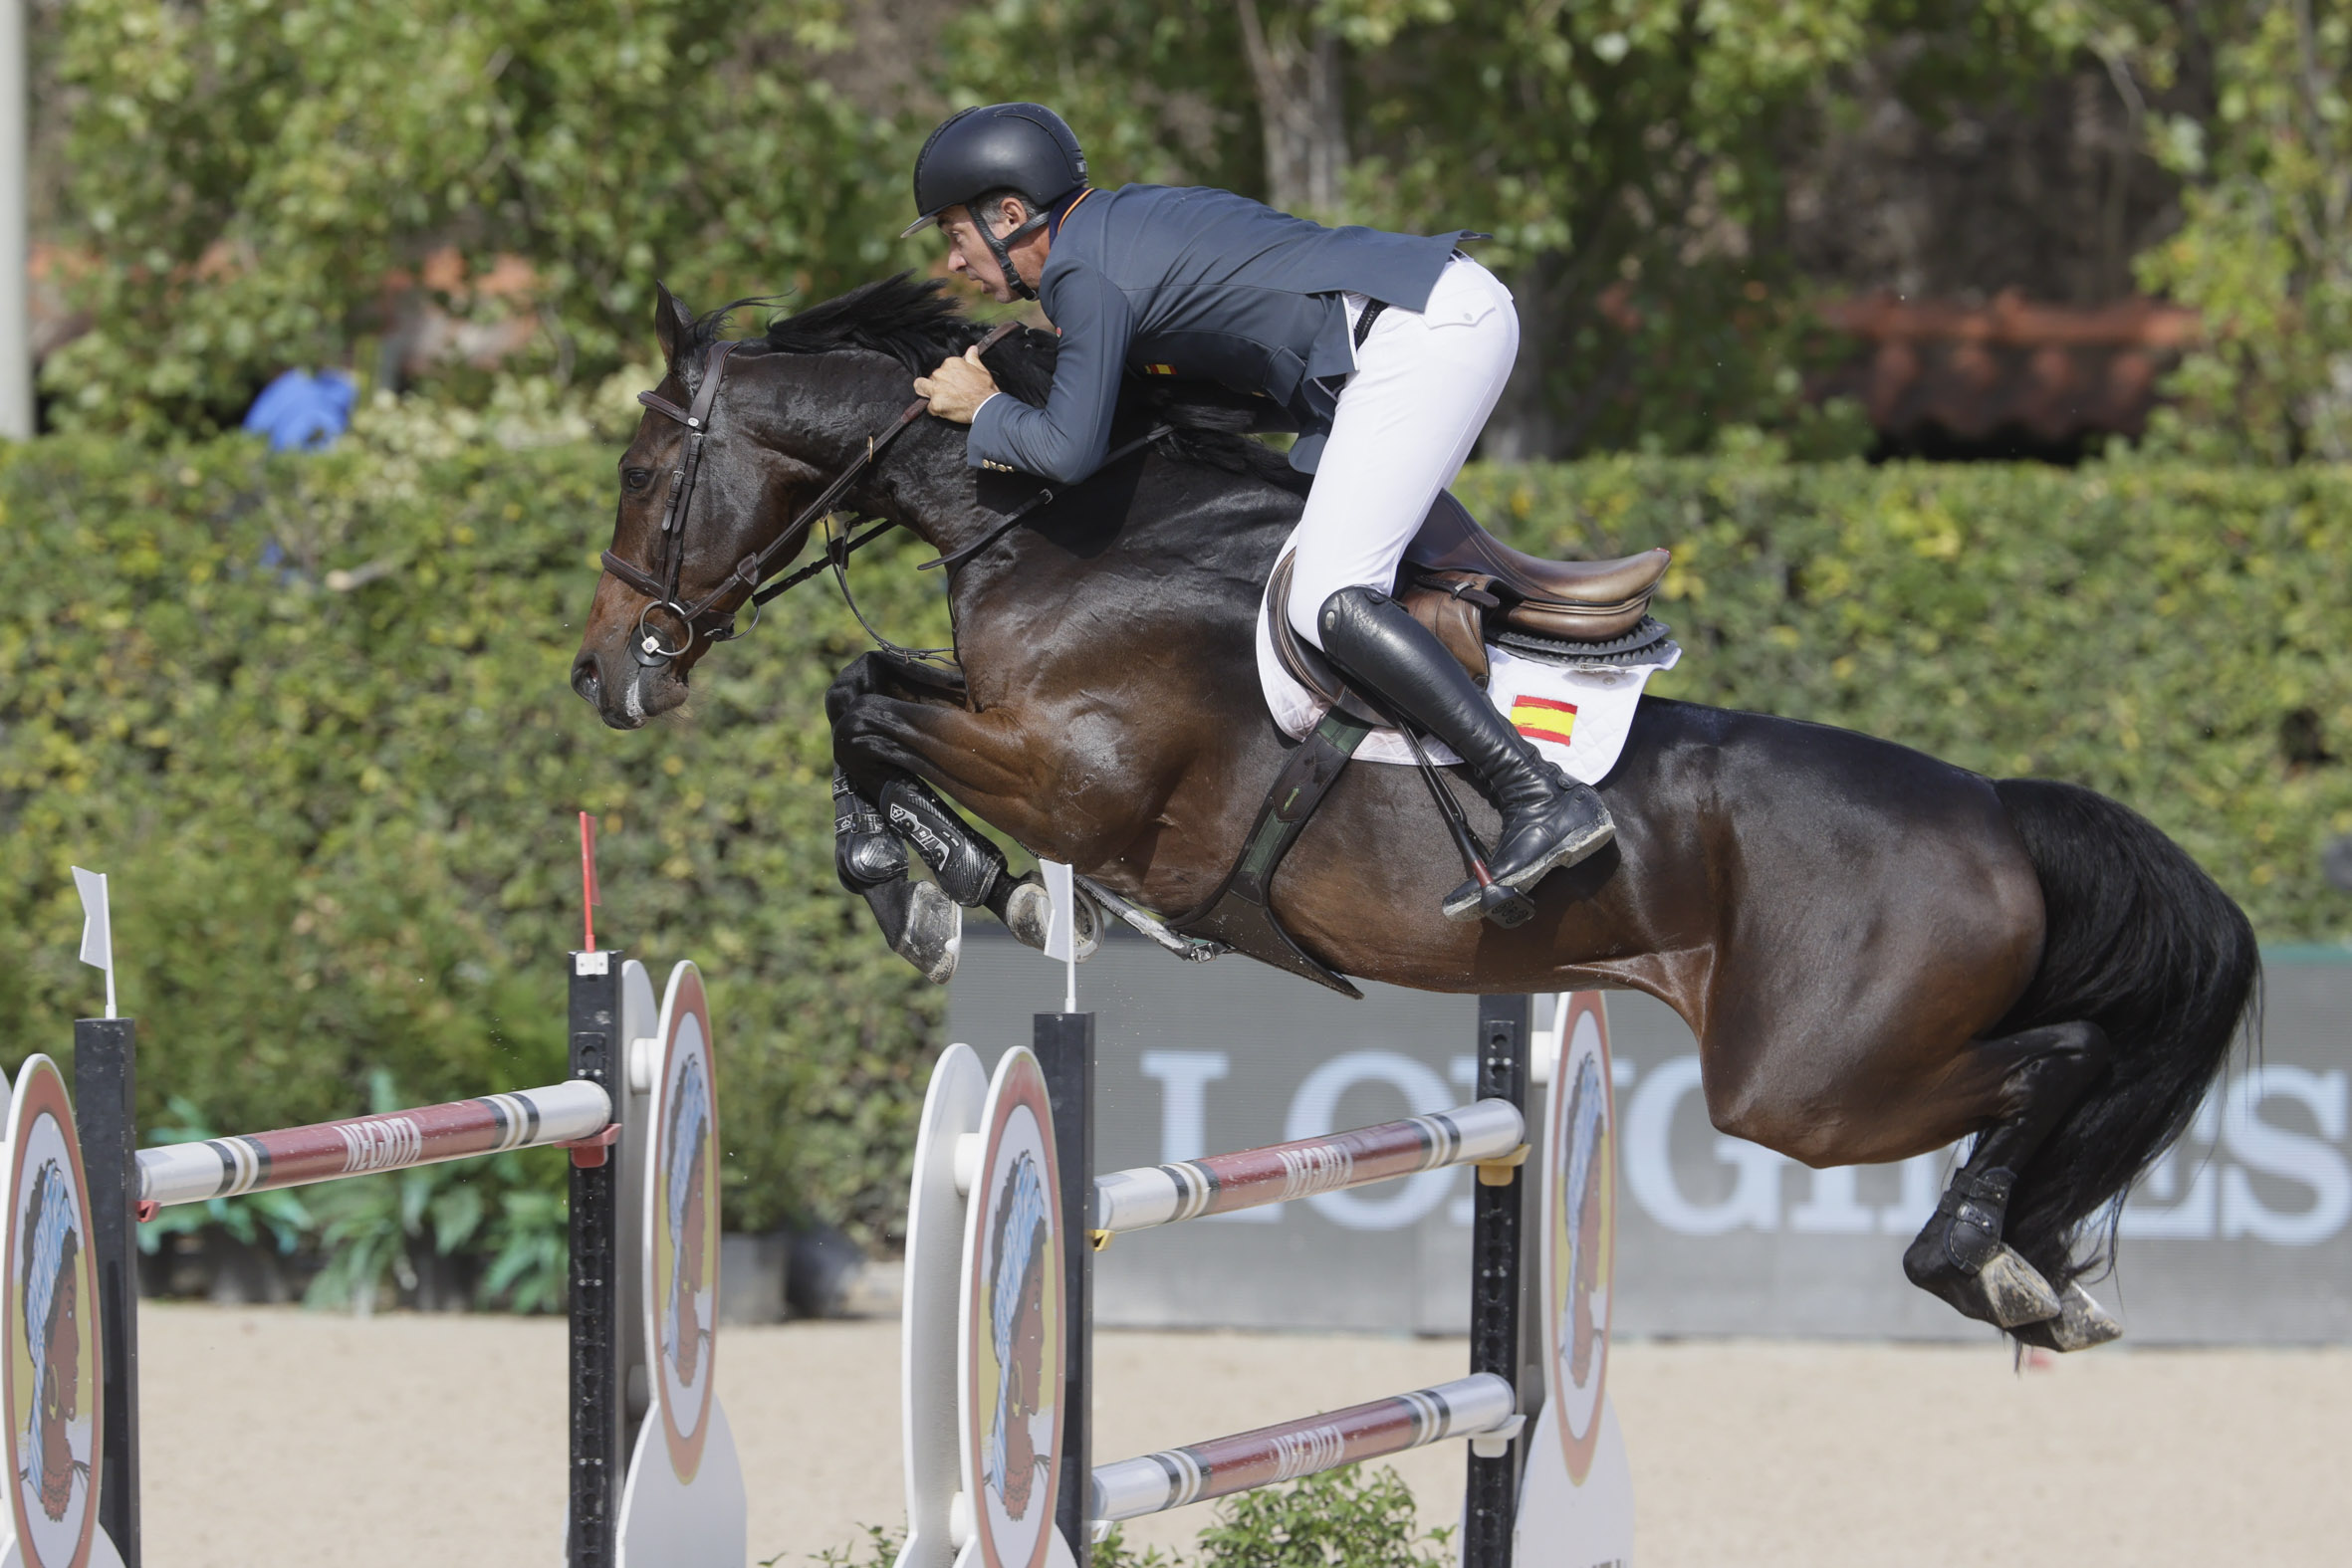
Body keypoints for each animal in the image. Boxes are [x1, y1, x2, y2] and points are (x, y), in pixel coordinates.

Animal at [569, 272, 2257, 1354]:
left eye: (644, 468)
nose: (604, 672)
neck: (1056, 522)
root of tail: (1995, 808)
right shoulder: (1012, 728)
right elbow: (863, 687)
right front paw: (944, 879)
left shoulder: (1075, 771)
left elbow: (858, 703)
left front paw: (934, 879)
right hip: (1824, 1074)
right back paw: (2038, 1264)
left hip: (1806, 1081)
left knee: (2062, 1054)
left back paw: (1980, 1254)